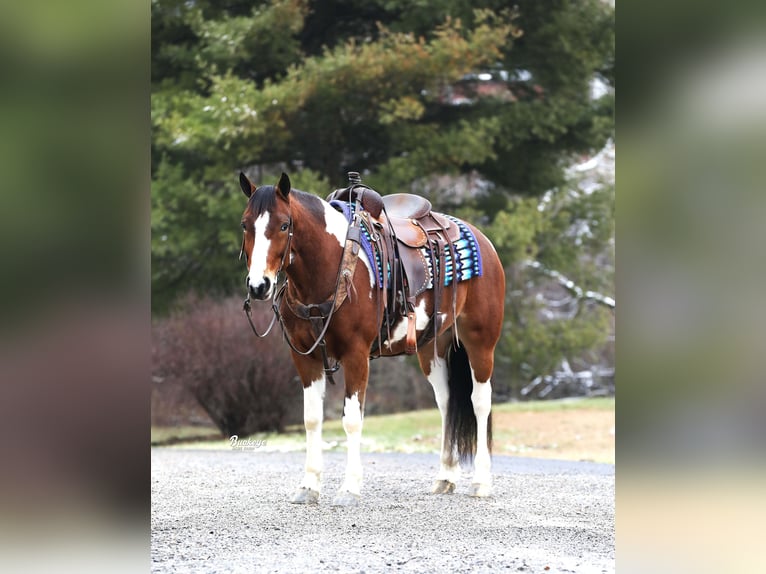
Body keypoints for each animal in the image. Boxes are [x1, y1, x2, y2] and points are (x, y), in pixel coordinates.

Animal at [237, 172, 508, 508]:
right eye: (245, 224)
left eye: (285, 225)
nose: (259, 286)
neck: (331, 267)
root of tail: (482, 240)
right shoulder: (304, 357)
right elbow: (311, 419)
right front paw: (309, 486)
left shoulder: (356, 355)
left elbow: (352, 419)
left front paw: (350, 489)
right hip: (432, 348)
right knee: (447, 403)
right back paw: (445, 477)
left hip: (481, 342)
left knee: (479, 402)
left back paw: (481, 482)